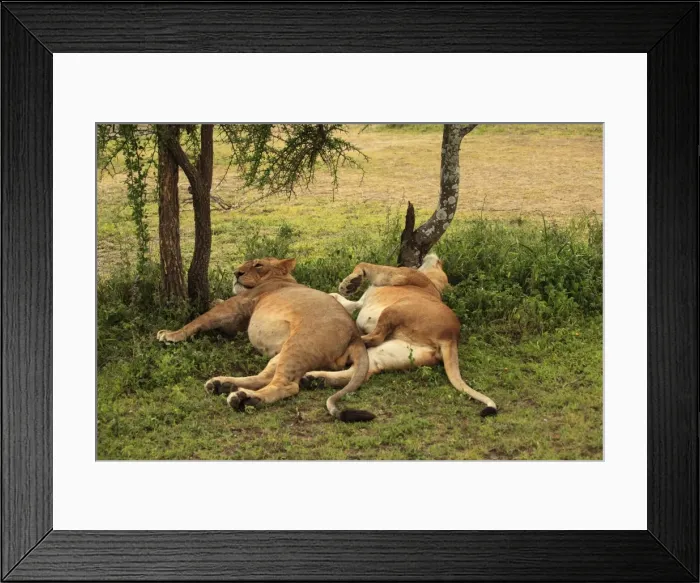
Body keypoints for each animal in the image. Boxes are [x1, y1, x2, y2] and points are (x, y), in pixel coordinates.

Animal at [156, 257, 374, 422]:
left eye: (258, 265)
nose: (236, 273)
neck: (282, 279)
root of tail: (355, 336)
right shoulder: (237, 323)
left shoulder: (235, 305)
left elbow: (200, 319)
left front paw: (170, 335)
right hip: (285, 351)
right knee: (264, 377)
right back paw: (222, 385)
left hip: (298, 344)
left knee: (287, 385)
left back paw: (244, 399)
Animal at [303, 254, 498, 417]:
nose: (438, 256)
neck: (433, 284)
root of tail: (451, 337)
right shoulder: (360, 302)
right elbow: (340, 298)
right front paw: (341, 290)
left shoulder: (400, 273)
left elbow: (364, 265)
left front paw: (350, 283)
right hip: (391, 351)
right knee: (360, 371)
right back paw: (313, 379)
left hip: (396, 309)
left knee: (375, 338)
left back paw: (347, 344)